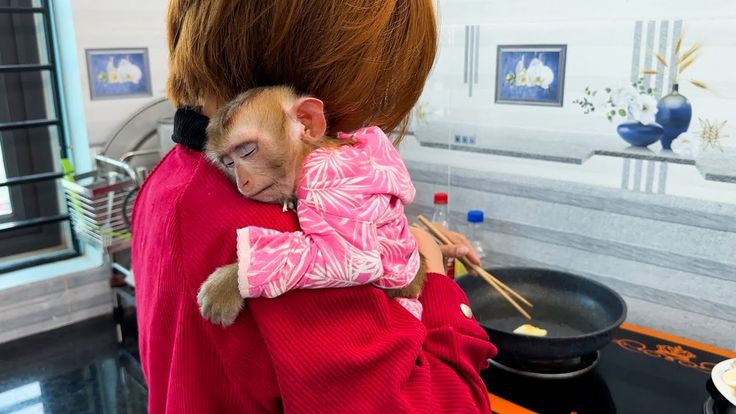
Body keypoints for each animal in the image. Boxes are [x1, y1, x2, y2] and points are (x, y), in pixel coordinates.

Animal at [197, 86, 426, 326]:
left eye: (248, 151)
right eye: (228, 163)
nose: (243, 183)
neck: (311, 152)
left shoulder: (325, 183)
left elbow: (348, 259)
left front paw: (227, 284)